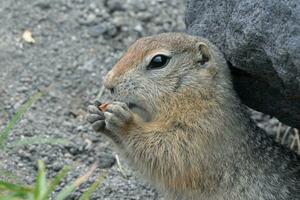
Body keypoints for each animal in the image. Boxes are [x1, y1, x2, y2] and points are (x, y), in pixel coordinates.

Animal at [87, 33, 300, 200]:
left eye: (158, 61)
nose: (108, 83)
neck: (195, 97)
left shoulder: (205, 128)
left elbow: (168, 152)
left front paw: (125, 121)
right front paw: (96, 115)